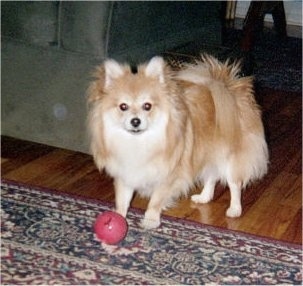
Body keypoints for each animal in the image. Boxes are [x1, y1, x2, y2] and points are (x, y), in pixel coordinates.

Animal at [86, 53, 270, 228]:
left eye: (147, 106)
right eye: (123, 107)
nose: (135, 121)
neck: (139, 142)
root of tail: (229, 87)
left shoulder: (168, 175)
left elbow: (155, 201)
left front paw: (150, 220)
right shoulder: (125, 173)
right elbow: (122, 201)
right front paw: (119, 218)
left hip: (229, 158)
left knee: (234, 184)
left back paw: (234, 209)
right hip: (208, 153)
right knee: (211, 176)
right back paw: (204, 197)